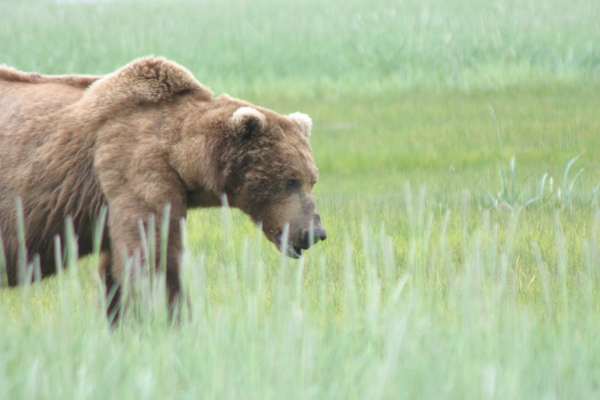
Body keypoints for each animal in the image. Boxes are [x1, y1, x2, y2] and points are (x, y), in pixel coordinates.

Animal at [0, 57, 326, 322]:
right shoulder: (133, 163)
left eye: (312, 179)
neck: (182, 155)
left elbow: (117, 271)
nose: (314, 232)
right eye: (290, 181)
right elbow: (153, 254)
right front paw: (171, 320)